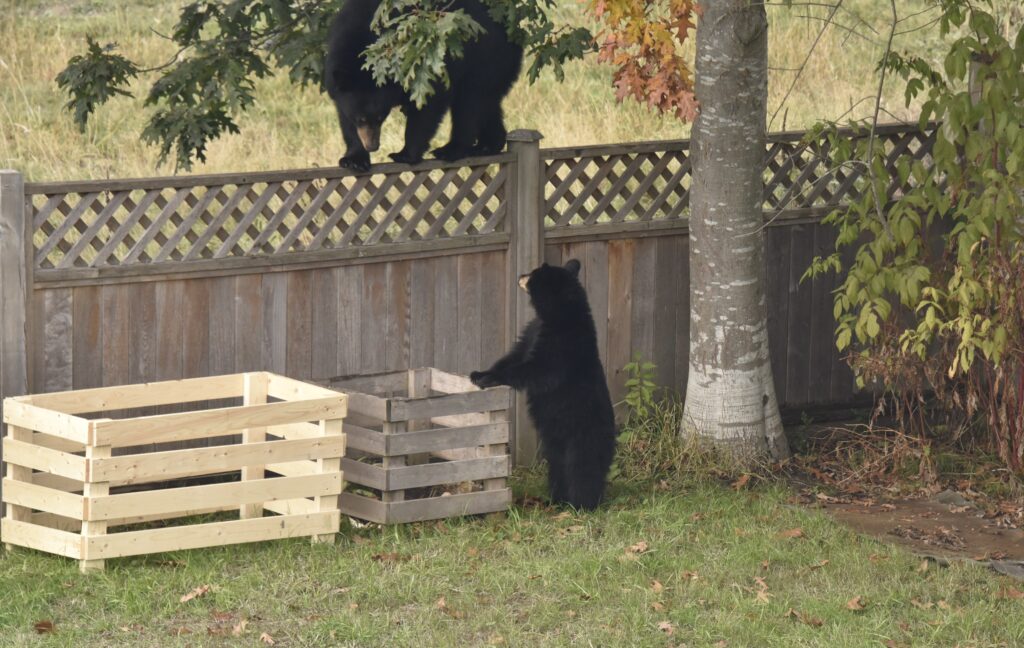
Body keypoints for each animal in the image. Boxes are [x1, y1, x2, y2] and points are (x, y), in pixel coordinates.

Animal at [323, 0, 524, 170]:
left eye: (381, 118)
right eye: (361, 119)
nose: (373, 146)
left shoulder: (422, 62)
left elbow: (428, 106)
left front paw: (405, 154)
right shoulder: (339, 83)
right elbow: (345, 117)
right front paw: (354, 159)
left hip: (486, 60)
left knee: (470, 104)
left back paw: (451, 149)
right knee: (486, 104)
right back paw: (488, 145)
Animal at [471, 258, 614, 509]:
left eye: (533, 273)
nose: (520, 275)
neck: (561, 316)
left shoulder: (563, 346)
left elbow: (537, 370)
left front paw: (489, 379)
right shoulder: (533, 331)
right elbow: (514, 355)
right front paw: (478, 373)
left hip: (584, 433)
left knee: (582, 468)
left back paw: (582, 504)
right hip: (555, 441)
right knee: (558, 466)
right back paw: (557, 498)